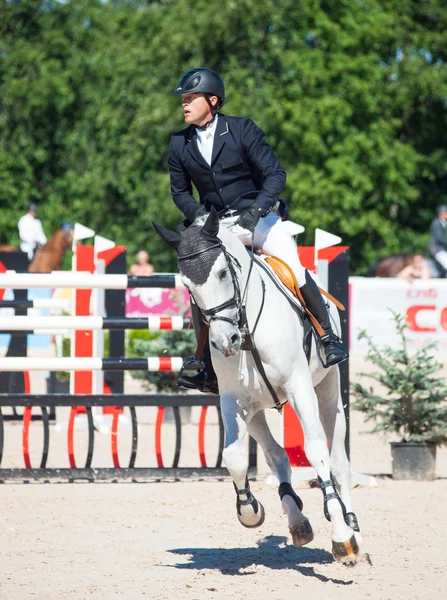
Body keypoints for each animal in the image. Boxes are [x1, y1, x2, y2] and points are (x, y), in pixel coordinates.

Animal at [154, 209, 364, 564]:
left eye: (223, 272)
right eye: (187, 286)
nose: (226, 342)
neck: (247, 326)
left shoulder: (299, 388)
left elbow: (316, 451)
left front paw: (341, 537)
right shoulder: (232, 399)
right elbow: (234, 457)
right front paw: (249, 511)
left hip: (328, 392)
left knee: (338, 459)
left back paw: (352, 528)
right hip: (255, 409)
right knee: (276, 454)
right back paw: (297, 520)